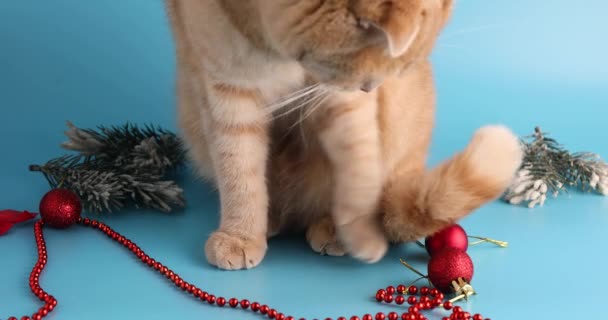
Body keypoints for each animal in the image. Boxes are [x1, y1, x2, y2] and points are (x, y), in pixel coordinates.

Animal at [166, 0, 524, 270]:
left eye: (398, 68)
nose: (372, 86)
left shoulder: (341, 100)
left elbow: (358, 170)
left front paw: (362, 235)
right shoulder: (228, 93)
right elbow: (239, 175)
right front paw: (241, 233)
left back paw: (332, 229)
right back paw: (271, 219)